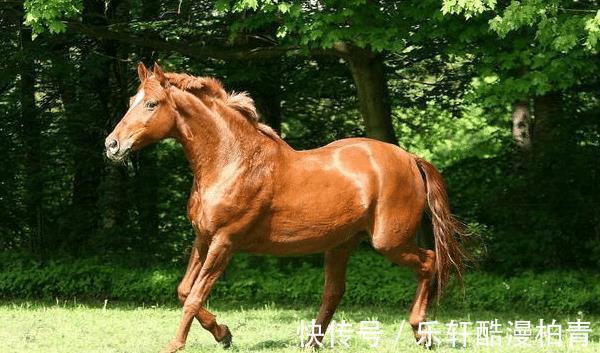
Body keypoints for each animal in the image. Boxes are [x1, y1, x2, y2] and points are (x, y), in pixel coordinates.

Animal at [104, 62, 468, 350]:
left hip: (388, 242)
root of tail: (410, 158)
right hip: (341, 244)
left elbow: (194, 297)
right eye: (132, 101)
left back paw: (421, 332)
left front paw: (175, 345)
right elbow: (183, 291)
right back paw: (311, 343)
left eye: (152, 104)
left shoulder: (225, 242)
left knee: (429, 262)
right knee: (334, 291)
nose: (112, 145)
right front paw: (224, 333)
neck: (232, 160)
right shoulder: (203, 238)